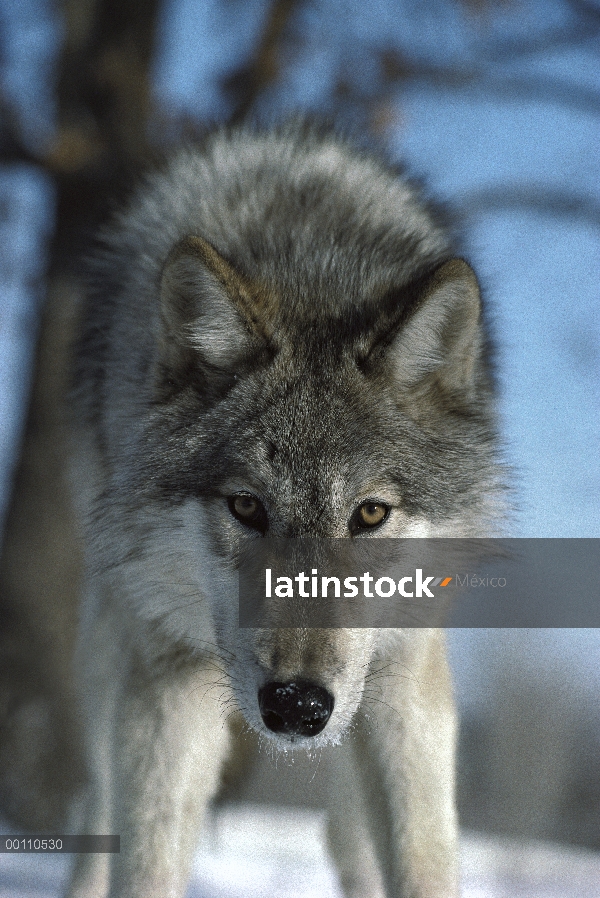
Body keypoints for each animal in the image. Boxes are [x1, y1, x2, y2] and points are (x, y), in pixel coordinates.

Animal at [1, 126, 506, 896]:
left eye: (369, 515)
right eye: (246, 506)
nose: (296, 706)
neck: (310, 271)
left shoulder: (403, 672)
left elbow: (422, 860)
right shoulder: (169, 674)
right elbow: (148, 857)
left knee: (345, 834)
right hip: (110, 650)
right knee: (100, 802)